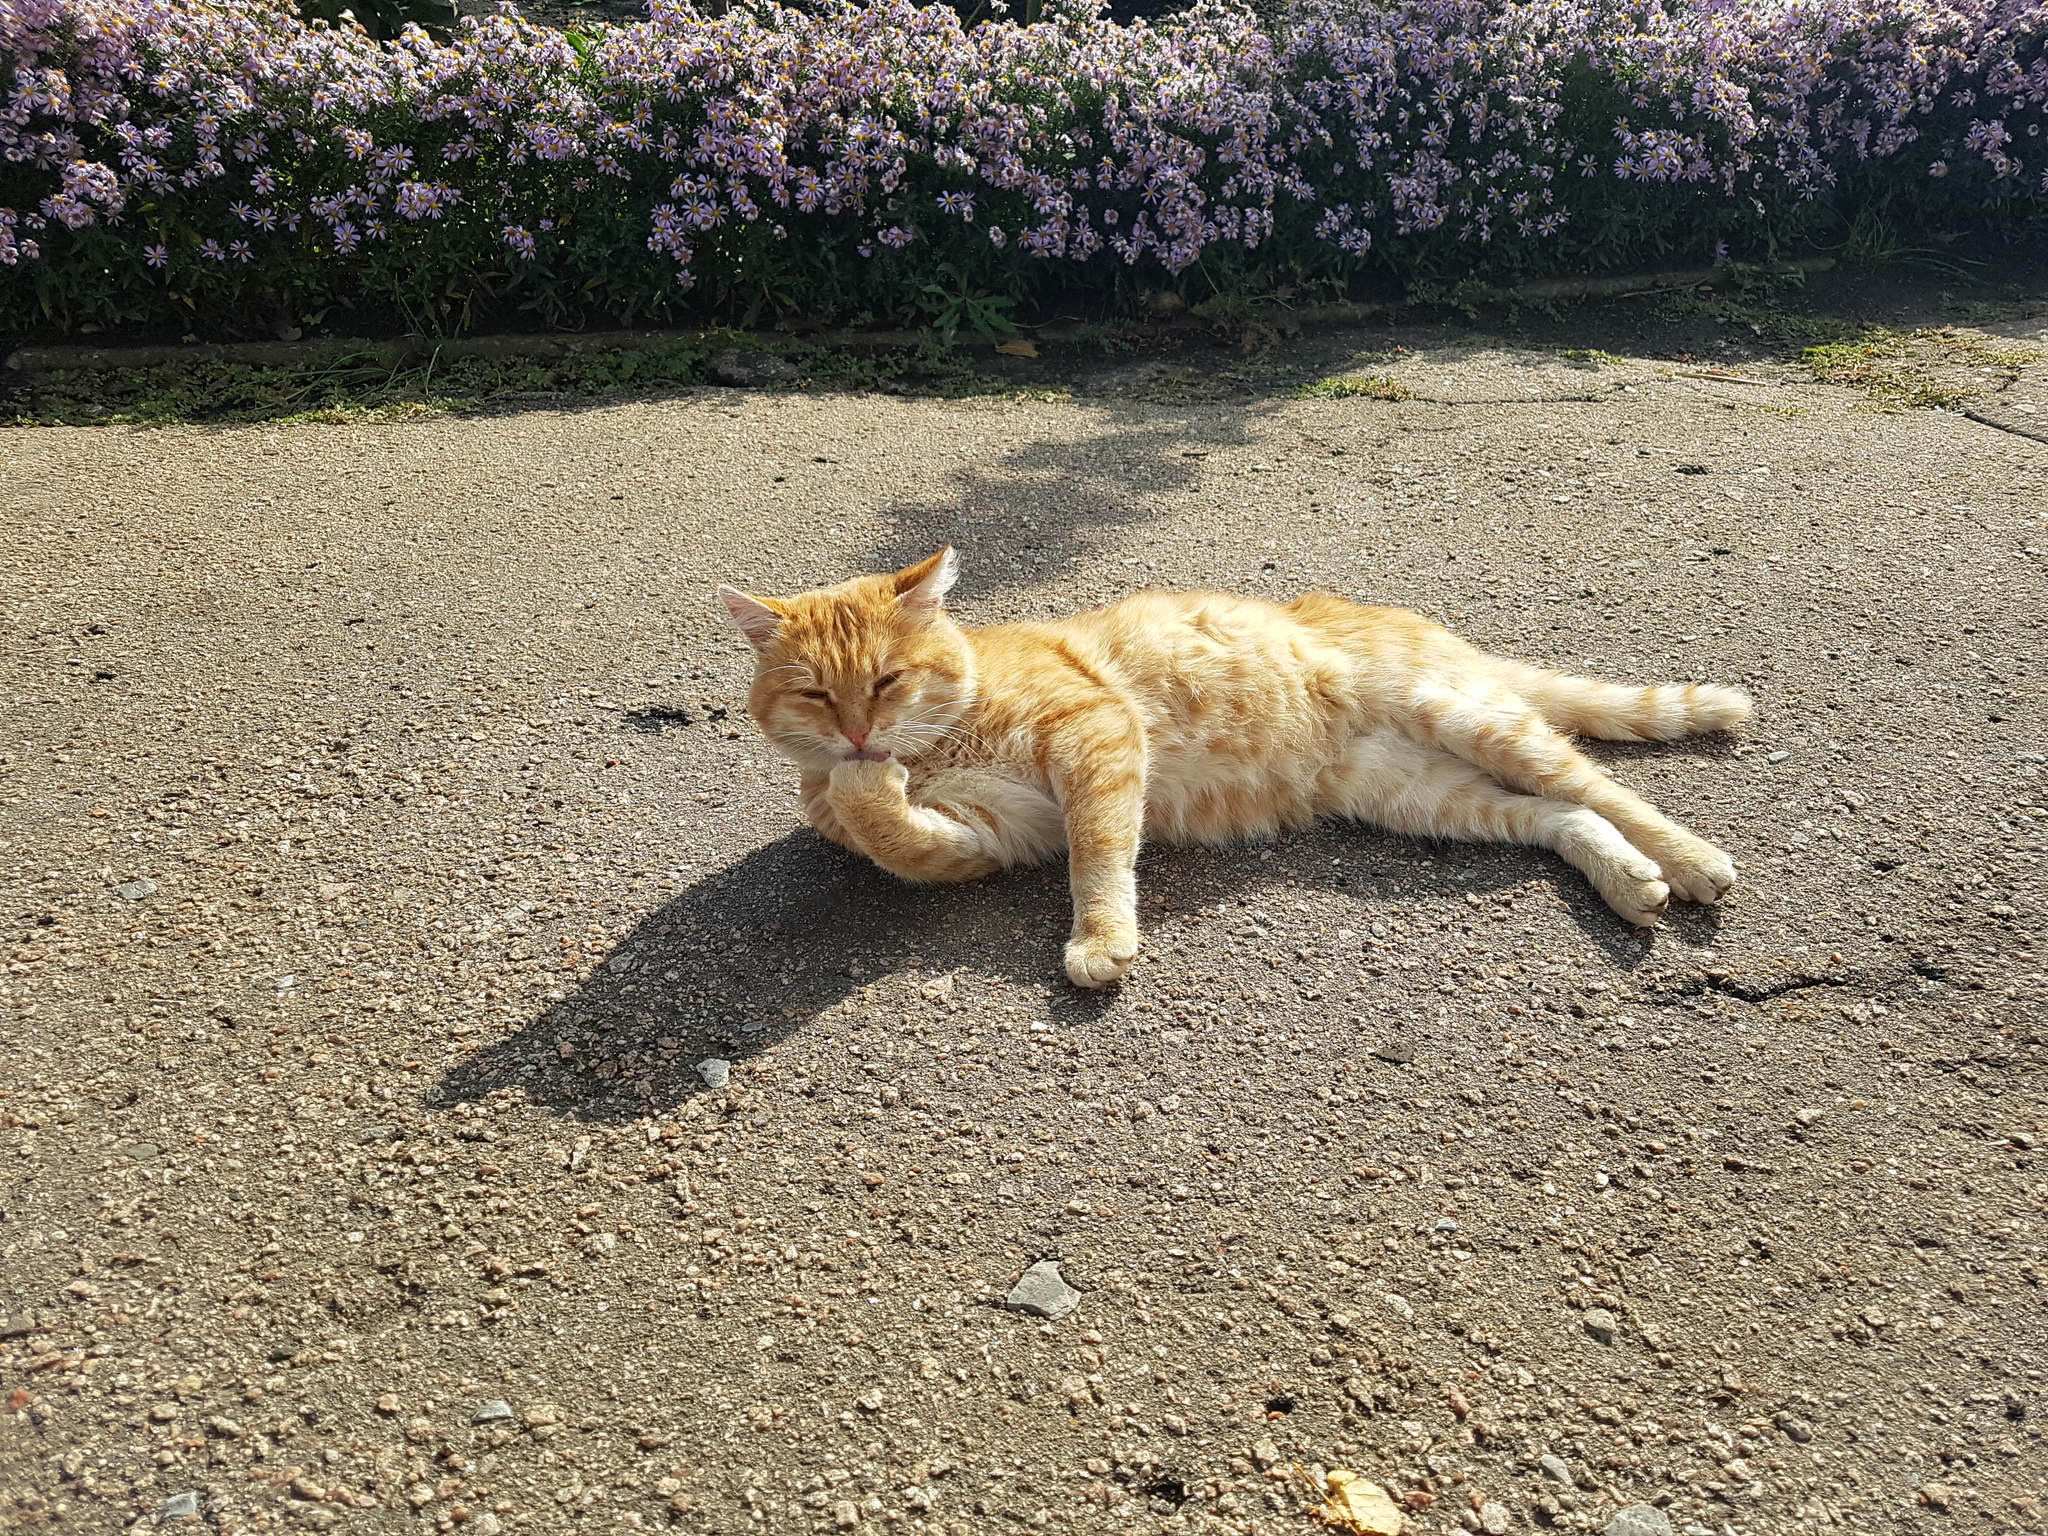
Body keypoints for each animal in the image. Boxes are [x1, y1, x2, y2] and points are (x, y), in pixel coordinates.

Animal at [720, 548, 1744, 987]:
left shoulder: (1094, 740)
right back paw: (1629, 880)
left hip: (1463, 717)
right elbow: (901, 835)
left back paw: (1690, 860)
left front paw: (1102, 940)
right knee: (1559, 817)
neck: (943, 741)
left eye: (887, 680)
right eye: (816, 694)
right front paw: (860, 792)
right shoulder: (991, 836)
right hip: (1424, 796)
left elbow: (1100, 856)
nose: (860, 735)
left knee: (1595, 785)